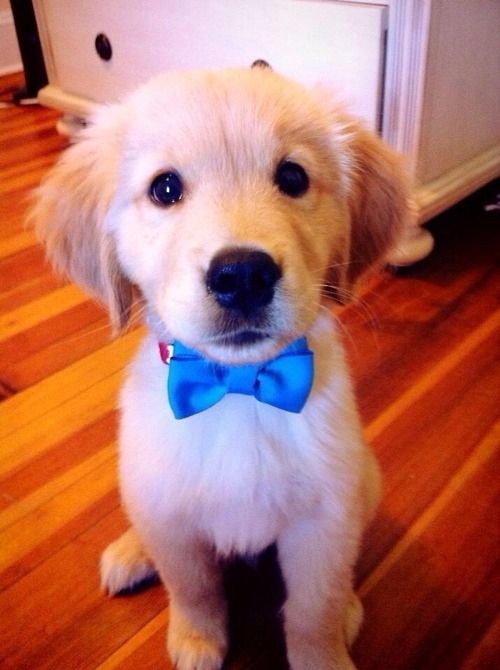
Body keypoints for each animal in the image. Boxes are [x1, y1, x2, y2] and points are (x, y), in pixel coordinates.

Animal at [32, 69, 406, 670]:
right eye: (164, 189)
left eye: (293, 177)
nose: (243, 274)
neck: (237, 389)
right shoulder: (174, 526)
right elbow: (193, 588)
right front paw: (196, 641)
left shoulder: (323, 523)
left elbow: (314, 608)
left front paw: (323, 653)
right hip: (143, 488)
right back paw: (132, 552)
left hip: (363, 482)